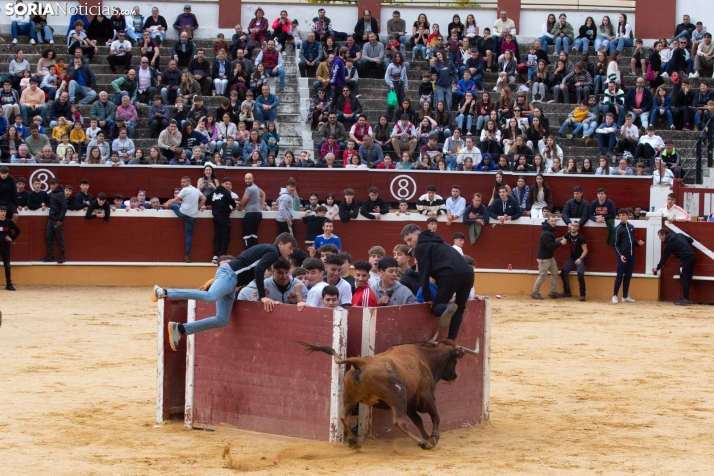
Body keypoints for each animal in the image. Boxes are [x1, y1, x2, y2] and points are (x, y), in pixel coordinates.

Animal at [296, 338, 478, 450]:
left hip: (350, 398)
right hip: (398, 397)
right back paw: (423, 444)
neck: (426, 358)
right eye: (455, 360)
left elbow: (419, 420)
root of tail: (361, 362)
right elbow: (435, 417)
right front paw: (432, 438)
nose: (454, 376)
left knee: (343, 416)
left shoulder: (410, 404)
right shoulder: (427, 397)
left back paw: (354, 442)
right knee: (399, 422)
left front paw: (427, 436)